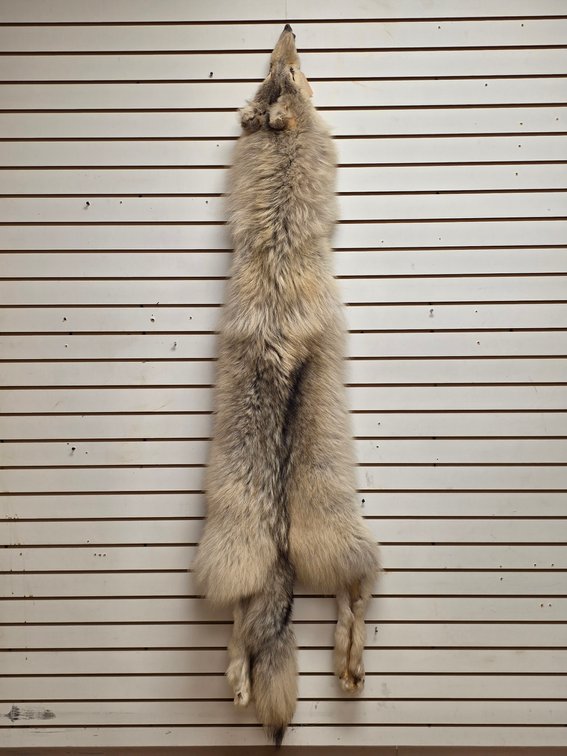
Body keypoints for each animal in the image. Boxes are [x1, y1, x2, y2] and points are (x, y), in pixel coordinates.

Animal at [193, 25, 380, 746]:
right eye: (288, 71)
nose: (289, 26)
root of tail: (274, 527)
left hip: (259, 554)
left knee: (246, 630)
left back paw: (243, 686)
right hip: (338, 540)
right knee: (355, 595)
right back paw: (349, 669)